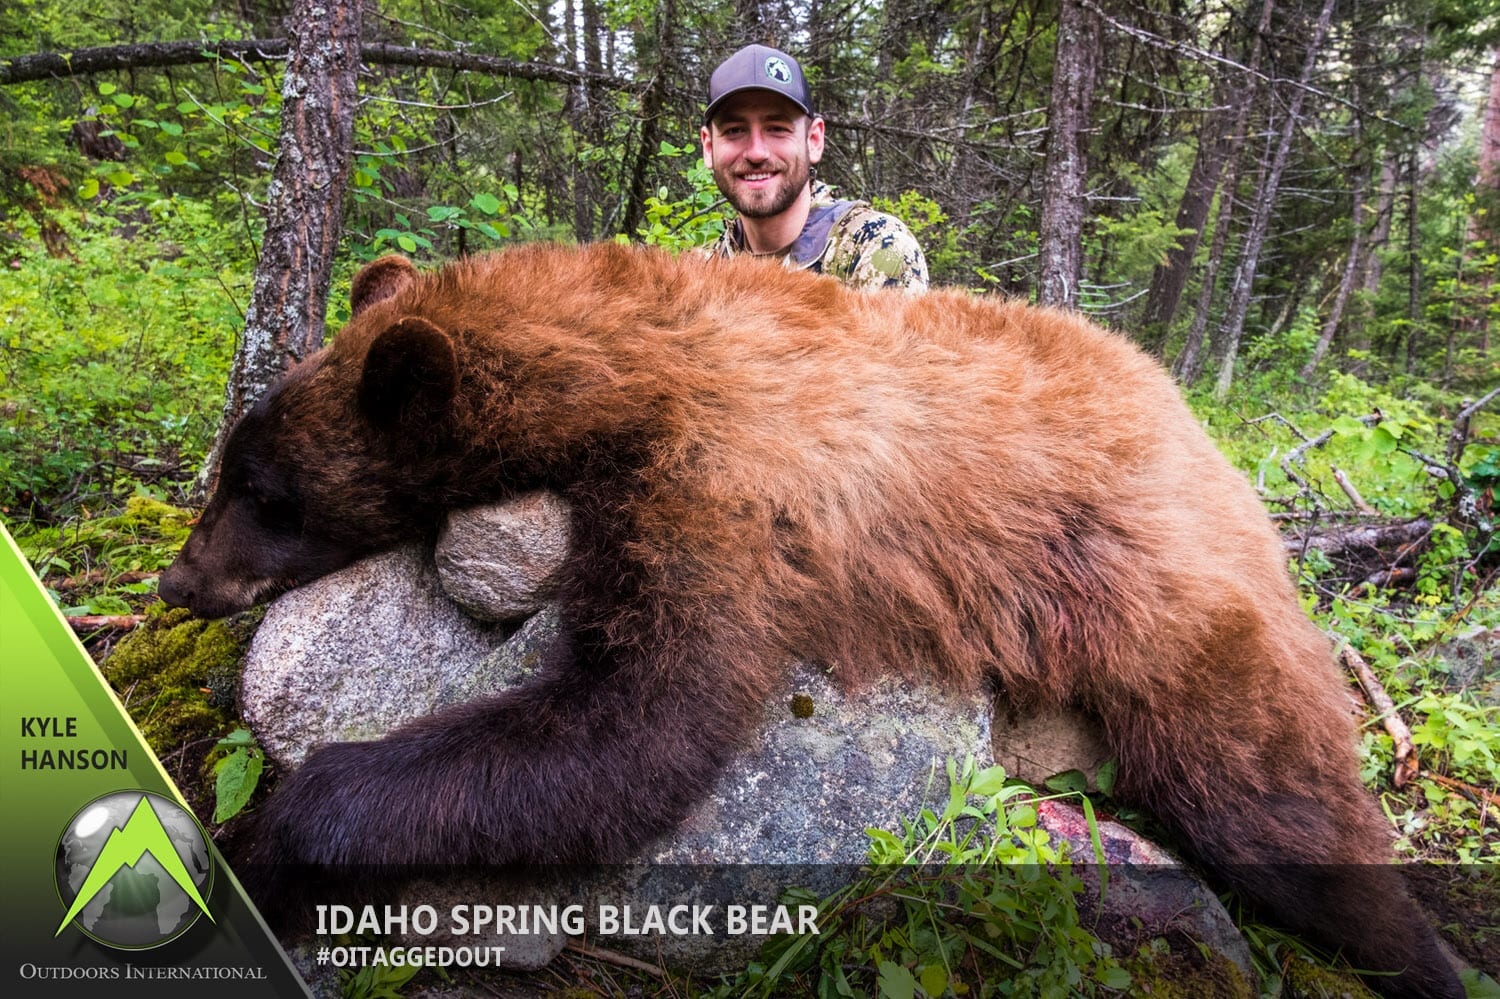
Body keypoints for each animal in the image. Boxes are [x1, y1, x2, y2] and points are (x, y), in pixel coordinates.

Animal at [164, 243, 1464, 996]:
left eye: (267, 494)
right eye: (229, 469)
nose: (178, 586)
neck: (624, 362)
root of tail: (1206, 433)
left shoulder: (726, 478)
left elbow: (637, 722)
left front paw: (272, 840)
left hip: (1171, 596)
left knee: (1268, 796)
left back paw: (1426, 957)